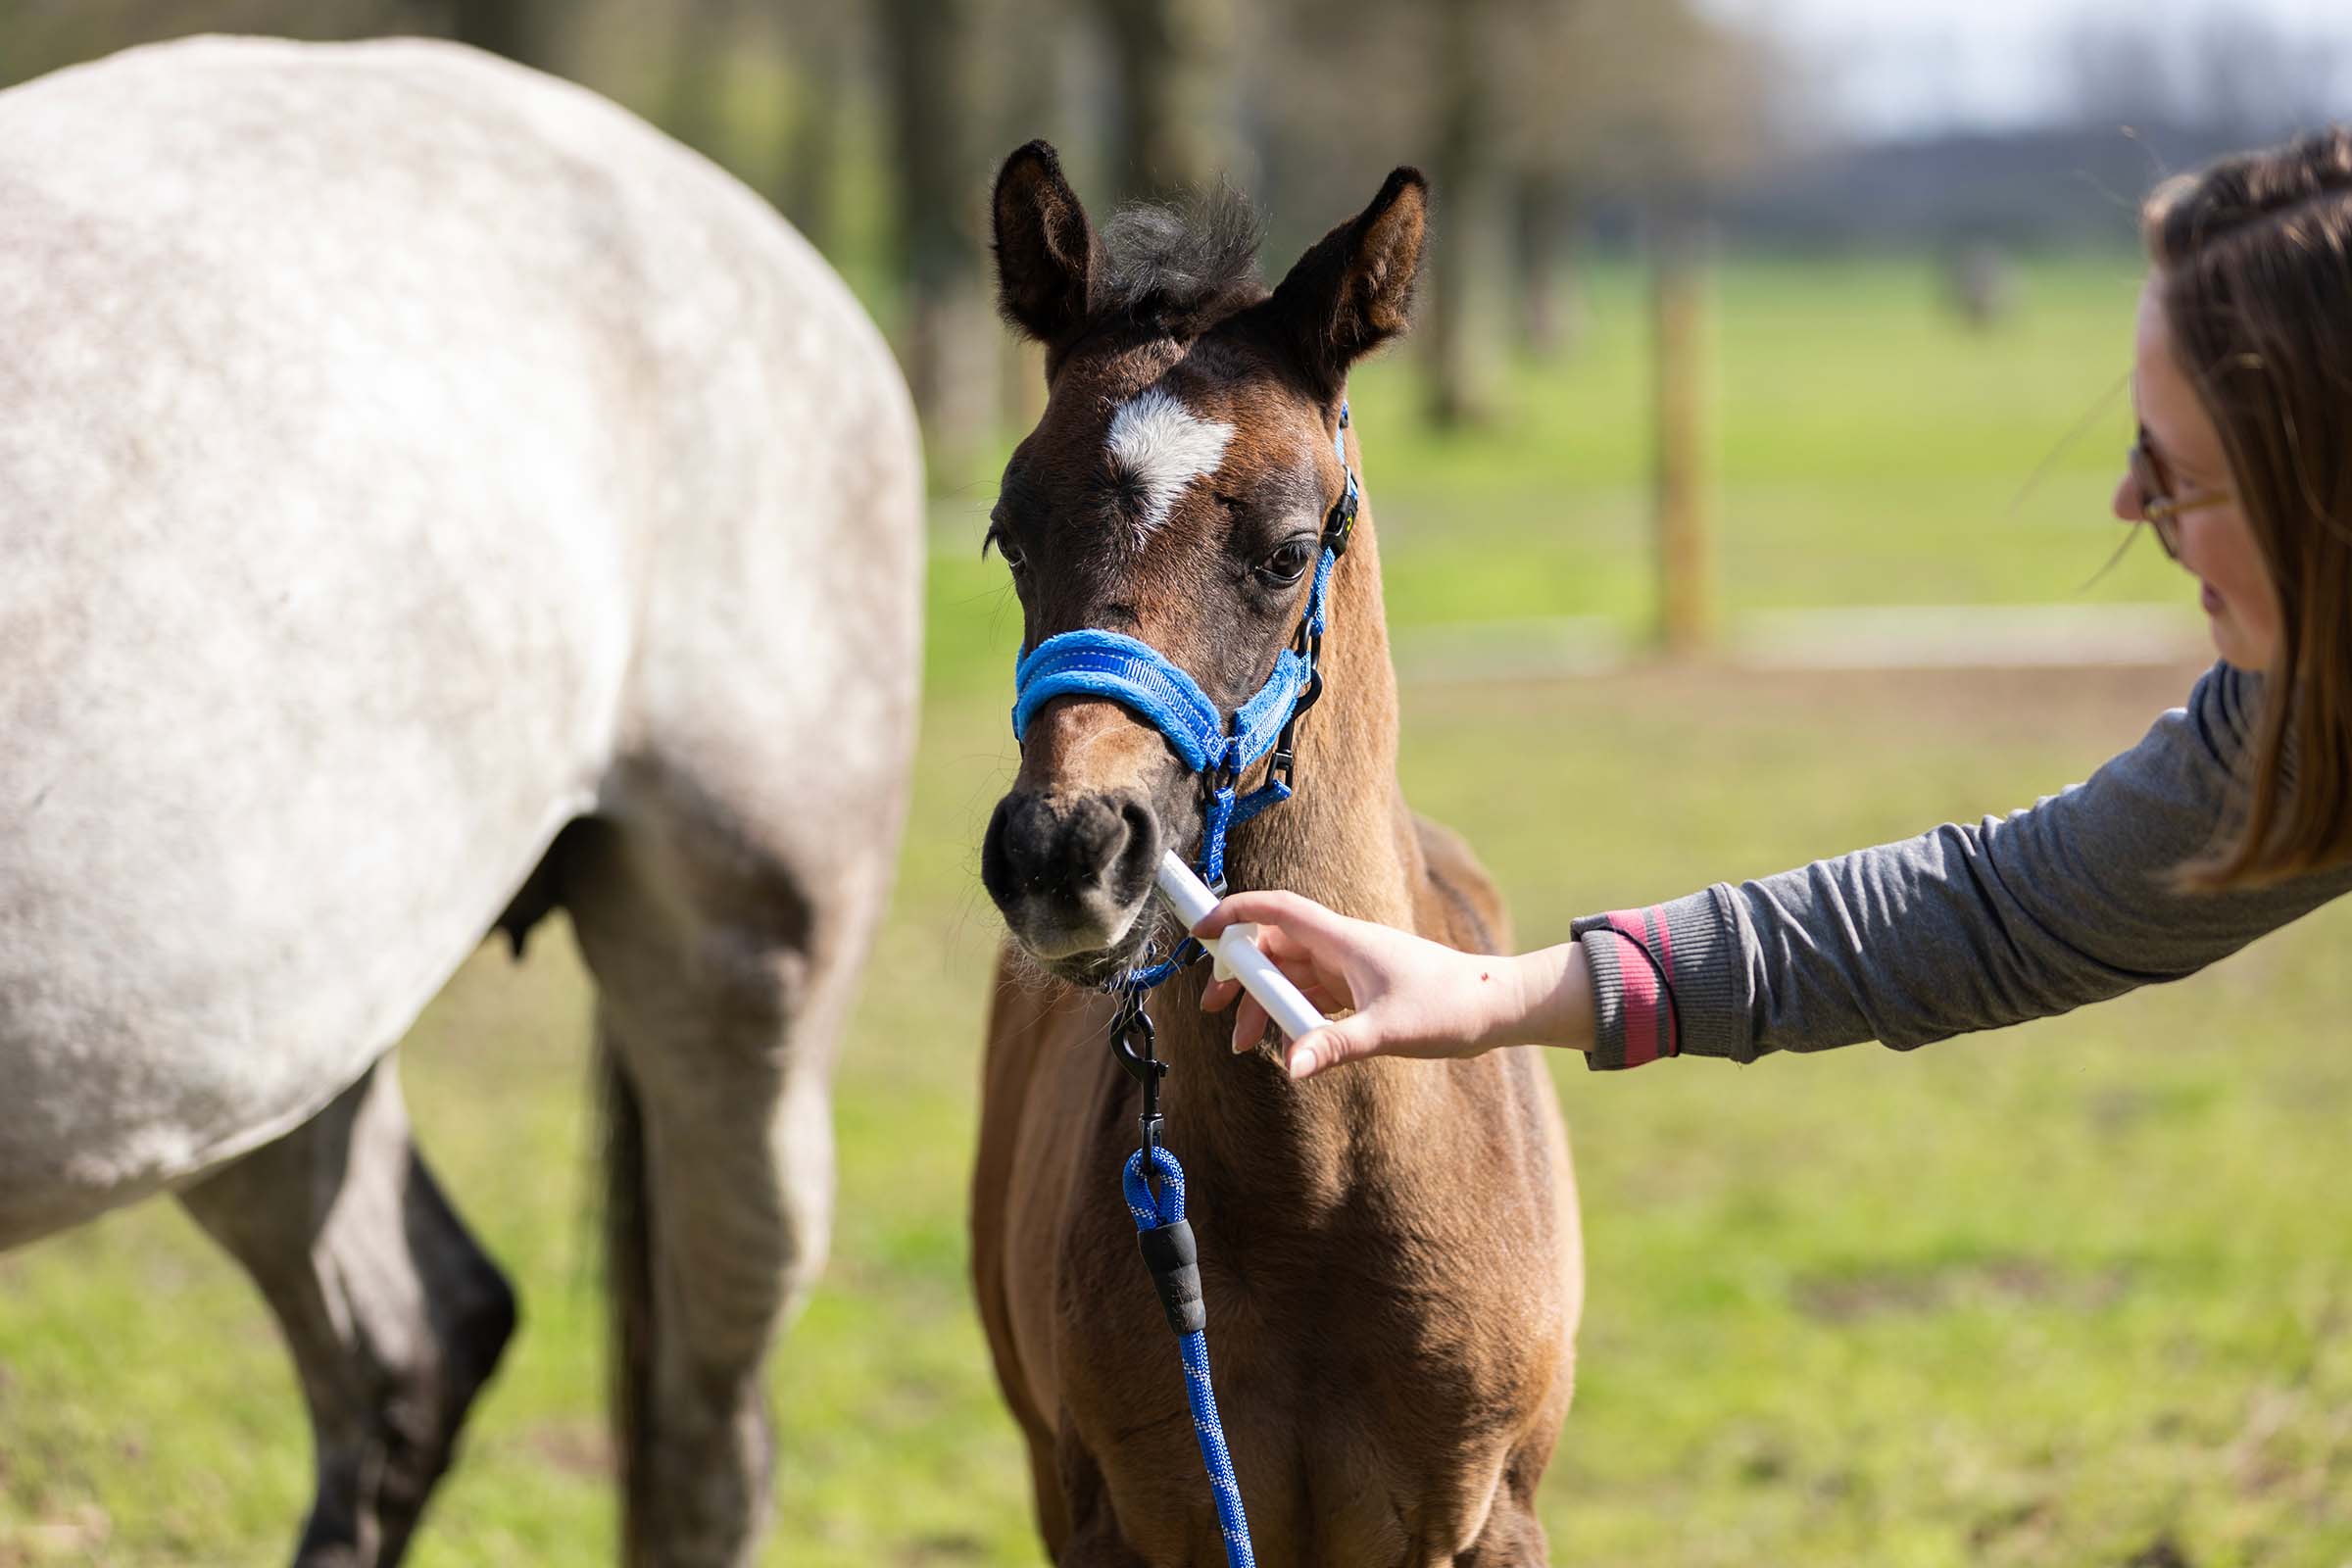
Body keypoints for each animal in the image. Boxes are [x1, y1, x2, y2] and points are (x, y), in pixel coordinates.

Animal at [969, 143, 1583, 1565]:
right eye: (1010, 535)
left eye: (1288, 551)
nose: (1065, 850)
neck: (1319, 1194)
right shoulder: (1117, 1520)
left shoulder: (1495, 1519)